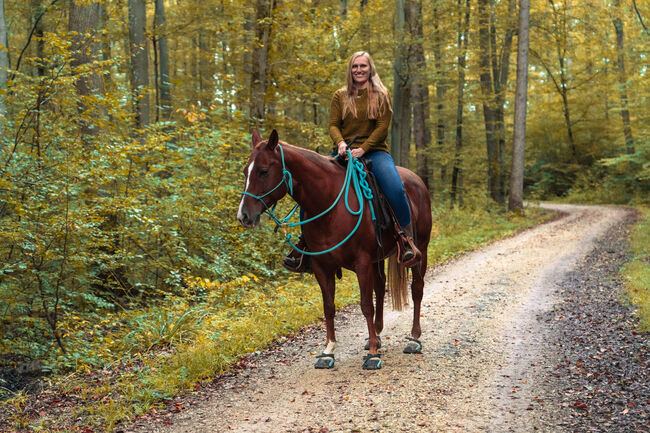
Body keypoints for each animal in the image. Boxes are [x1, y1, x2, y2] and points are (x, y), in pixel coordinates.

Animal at [237, 129, 432, 370]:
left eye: (263, 171)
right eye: (245, 171)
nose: (243, 216)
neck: (329, 204)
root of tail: (417, 180)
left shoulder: (362, 263)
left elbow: (365, 305)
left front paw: (373, 355)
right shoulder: (322, 266)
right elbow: (329, 307)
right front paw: (328, 351)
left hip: (421, 249)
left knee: (417, 289)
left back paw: (414, 338)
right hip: (378, 259)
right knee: (380, 287)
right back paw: (376, 335)